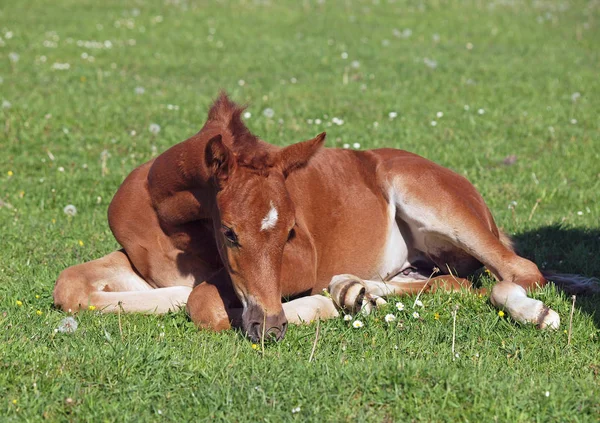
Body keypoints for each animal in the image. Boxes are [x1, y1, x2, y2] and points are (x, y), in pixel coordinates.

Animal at [51, 94, 584, 342]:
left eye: (290, 232)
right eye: (230, 232)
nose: (270, 328)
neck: (169, 220)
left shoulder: (302, 261)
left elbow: (201, 301)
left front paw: (310, 307)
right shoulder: (139, 261)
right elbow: (70, 286)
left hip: (434, 201)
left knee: (518, 272)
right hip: (424, 263)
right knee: (452, 283)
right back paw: (354, 292)